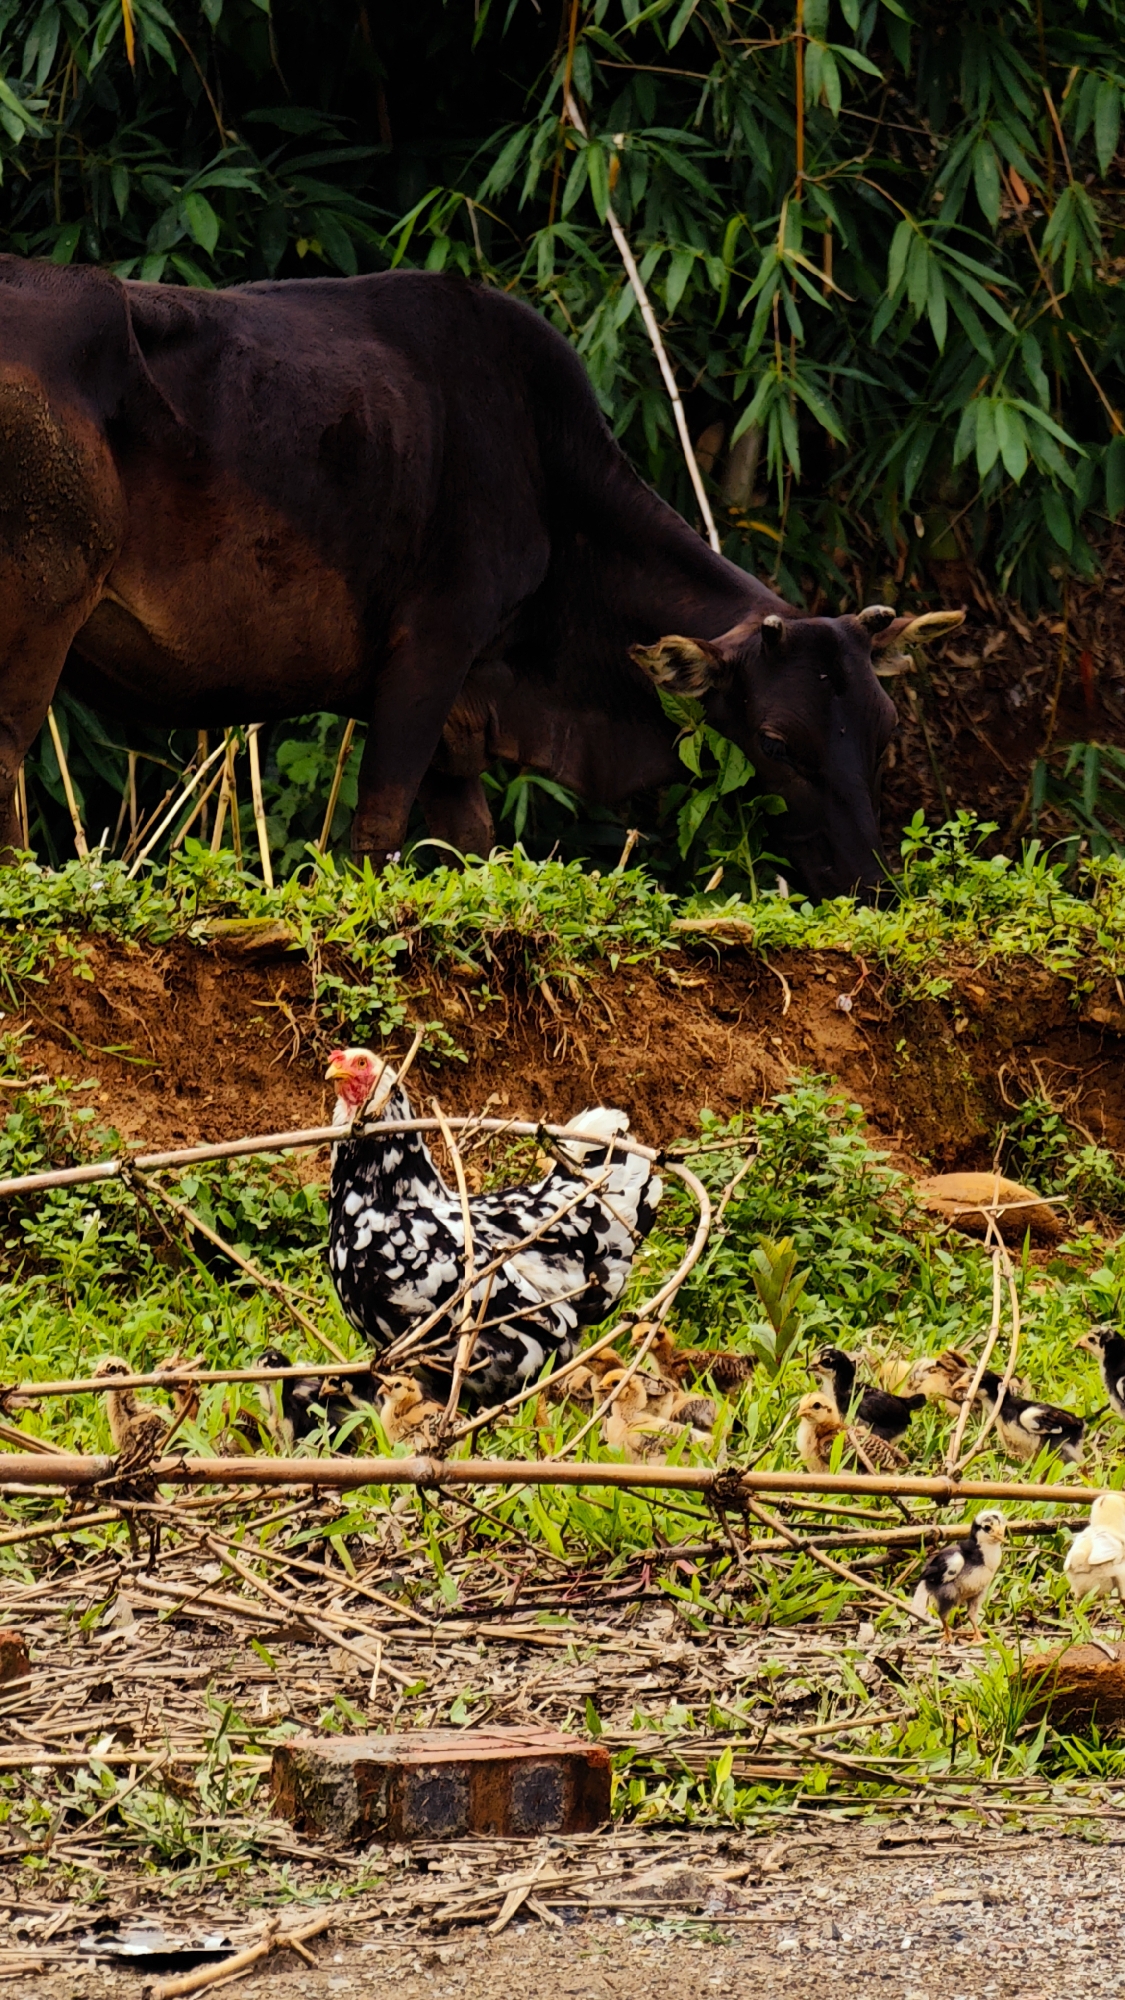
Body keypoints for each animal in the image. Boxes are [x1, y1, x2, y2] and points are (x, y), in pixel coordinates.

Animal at [0, 257, 959, 896]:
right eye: (776, 743)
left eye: (885, 735)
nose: (869, 882)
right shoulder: (432, 649)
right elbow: (379, 833)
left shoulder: (463, 709)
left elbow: (471, 847)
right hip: (37, 606)